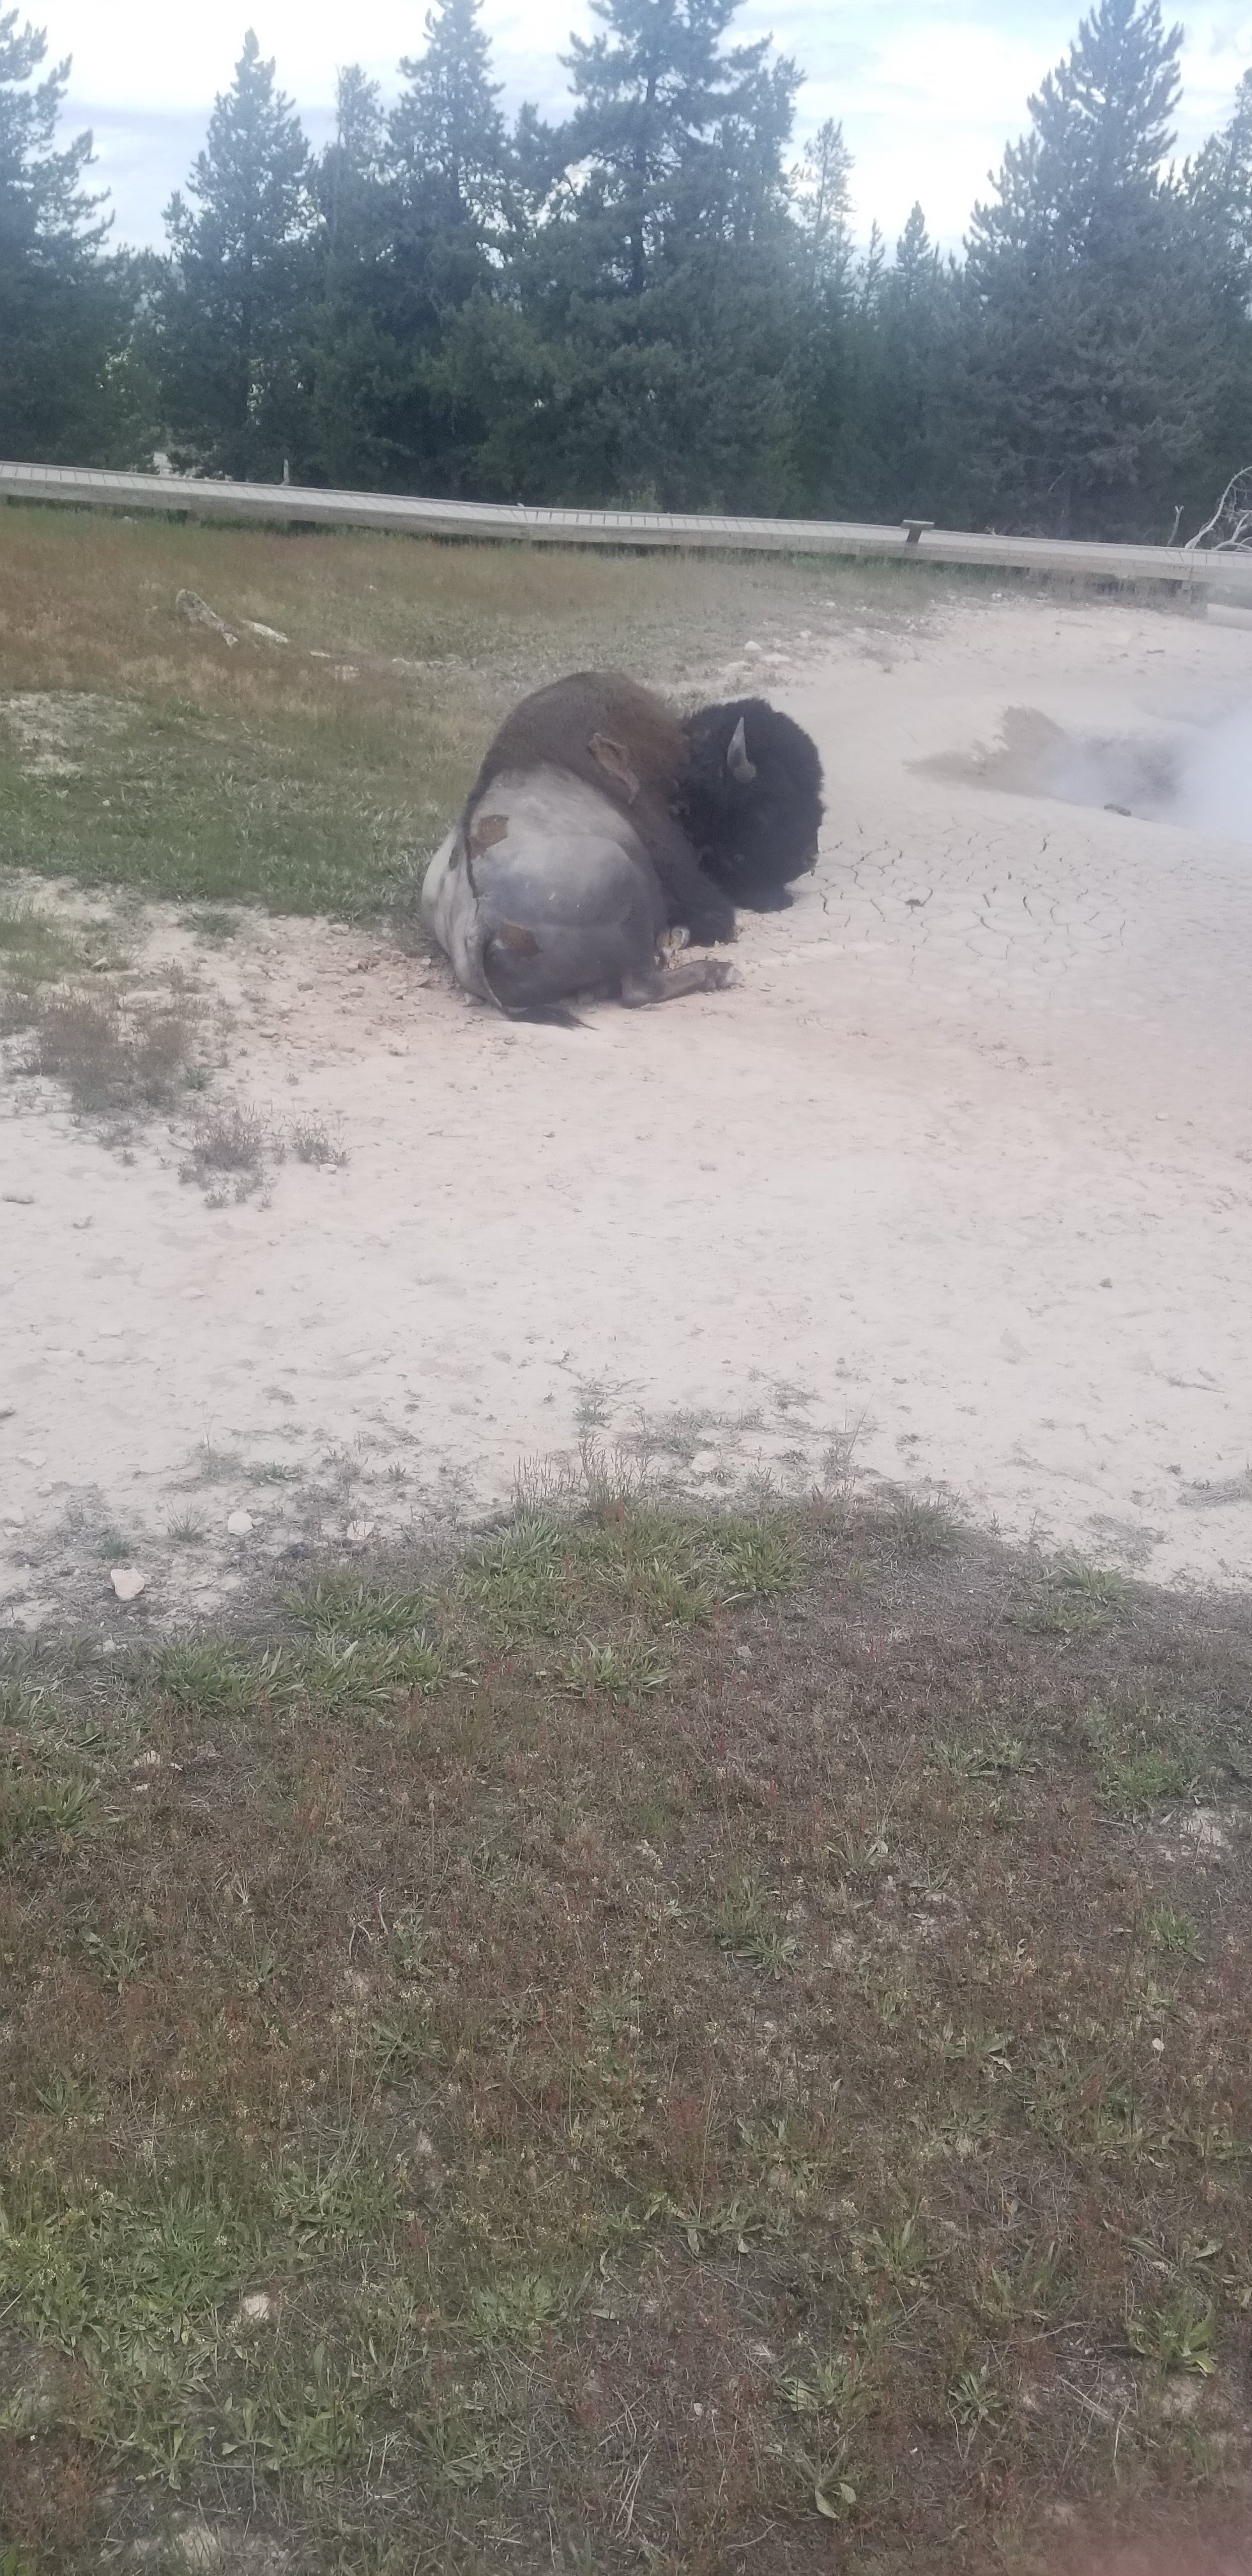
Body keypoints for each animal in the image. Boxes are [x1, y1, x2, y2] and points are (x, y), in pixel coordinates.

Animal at [422, 675, 819, 1015]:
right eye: (768, 804)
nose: (809, 858)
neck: (685, 775)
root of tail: (482, 922)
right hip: (628, 887)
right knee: (639, 989)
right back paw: (719, 971)